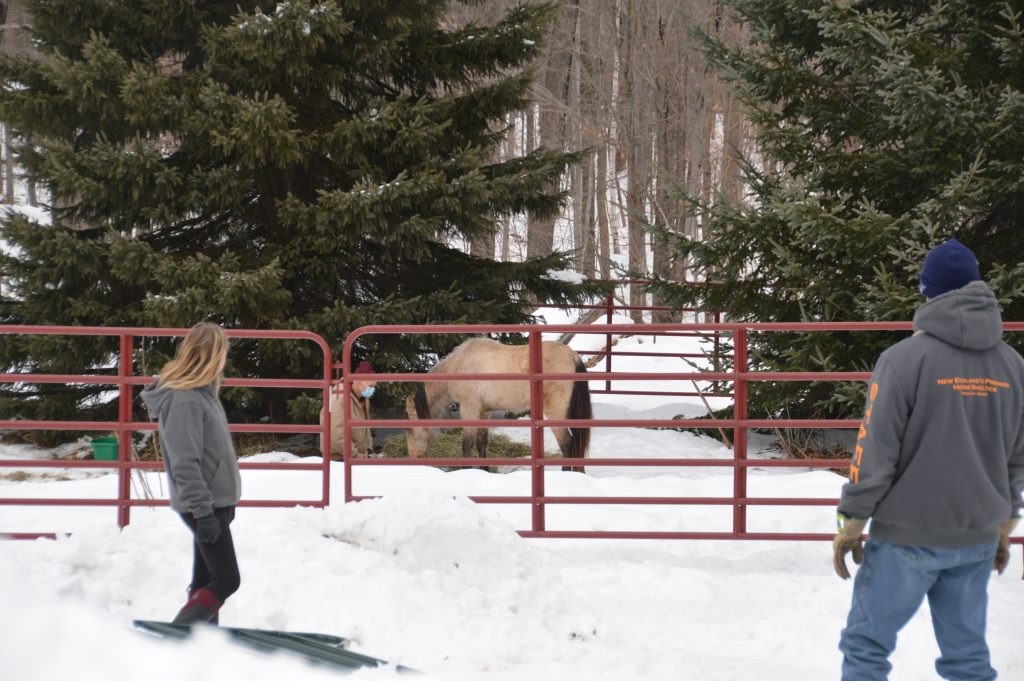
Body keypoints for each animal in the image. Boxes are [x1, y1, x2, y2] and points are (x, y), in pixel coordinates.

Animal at [405, 338, 592, 472]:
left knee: (567, 443)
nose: (413, 457)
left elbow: (467, 444)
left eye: (411, 429)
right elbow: (481, 442)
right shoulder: (484, 410)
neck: (458, 365)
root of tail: (572, 355)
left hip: (555, 412)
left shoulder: (469, 408)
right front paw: (484, 470)